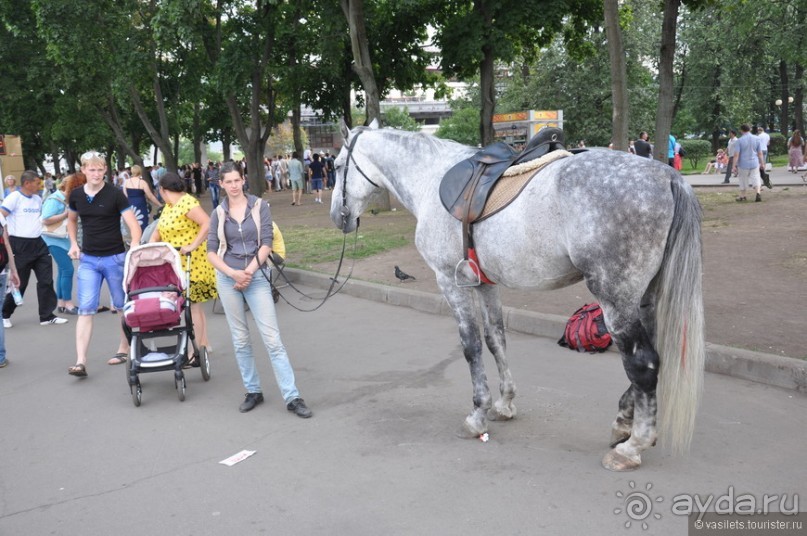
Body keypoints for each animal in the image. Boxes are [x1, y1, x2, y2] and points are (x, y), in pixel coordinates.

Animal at [332, 120, 704, 468]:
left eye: (336, 165)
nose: (338, 216)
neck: (429, 178)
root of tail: (668, 177)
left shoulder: (449, 281)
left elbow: (471, 346)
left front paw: (477, 415)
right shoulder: (484, 284)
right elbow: (496, 339)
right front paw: (505, 403)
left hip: (615, 300)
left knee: (643, 363)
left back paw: (633, 446)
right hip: (642, 299)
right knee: (649, 357)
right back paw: (624, 422)